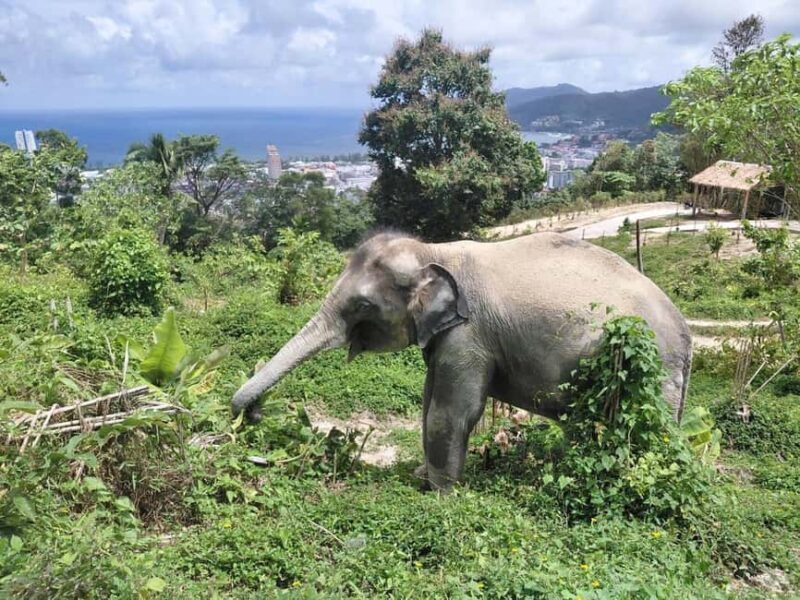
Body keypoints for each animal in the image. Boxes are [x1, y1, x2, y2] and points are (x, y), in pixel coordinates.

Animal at [232, 231, 692, 491]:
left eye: (362, 305)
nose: (253, 414)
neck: (434, 251)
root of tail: (685, 334)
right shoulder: (445, 334)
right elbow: (427, 398)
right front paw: (421, 478)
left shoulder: (470, 333)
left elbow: (451, 411)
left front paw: (440, 495)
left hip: (655, 369)